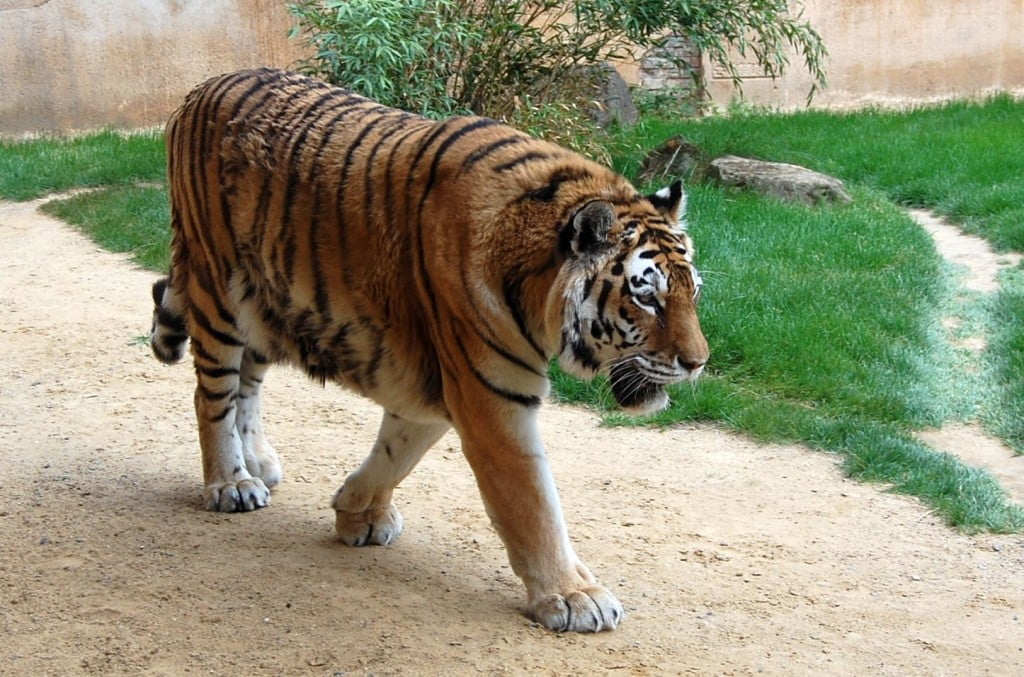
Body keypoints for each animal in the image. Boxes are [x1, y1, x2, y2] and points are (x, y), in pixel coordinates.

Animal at [150, 68, 708, 633]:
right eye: (647, 298)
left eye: (693, 293)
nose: (698, 363)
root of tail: (202, 87)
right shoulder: (491, 397)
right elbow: (534, 504)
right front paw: (575, 596)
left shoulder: (432, 380)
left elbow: (397, 451)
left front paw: (358, 511)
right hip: (219, 291)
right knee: (212, 395)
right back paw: (230, 483)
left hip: (268, 302)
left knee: (248, 382)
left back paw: (257, 462)